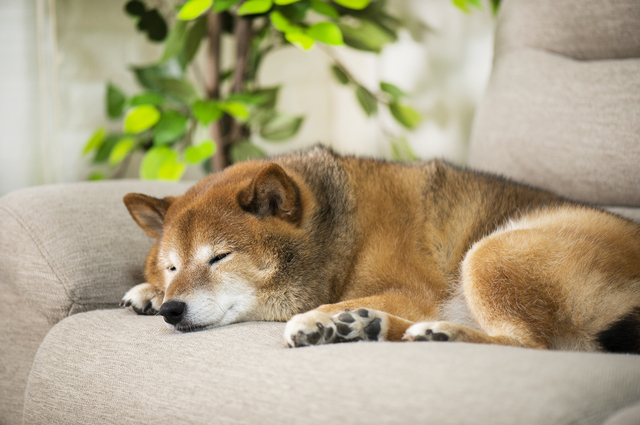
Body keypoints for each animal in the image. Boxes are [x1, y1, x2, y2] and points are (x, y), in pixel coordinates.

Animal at [120, 145, 640, 352]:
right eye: (171, 267)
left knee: (527, 343)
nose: (171, 310)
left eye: (219, 257)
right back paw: (362, 327)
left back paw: (433, 334)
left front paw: (314, 316)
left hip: (491, 253)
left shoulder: (411, 290)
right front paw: (145, 293)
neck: (342, 234)